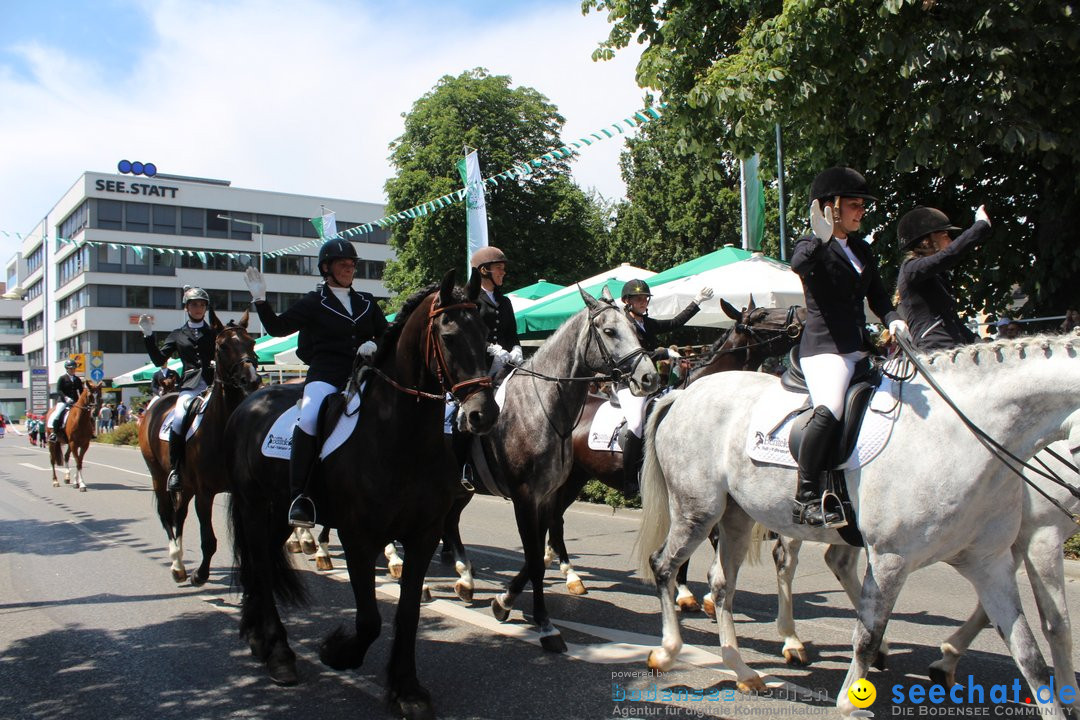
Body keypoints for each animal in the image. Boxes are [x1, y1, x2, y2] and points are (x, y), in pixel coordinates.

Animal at [230, 272, 498, 720]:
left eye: (486, 332)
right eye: (448, 335)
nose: (483, 414)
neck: (399, 436)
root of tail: (250, 401)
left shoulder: (423, 535)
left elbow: (408, 612)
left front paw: (406, 689)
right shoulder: (358, 538)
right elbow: (370, 619)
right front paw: (336, 652)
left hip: (276, 513)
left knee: (261, 561)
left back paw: (258, 637)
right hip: (253, 506)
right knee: (262, 570)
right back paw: (279, 653)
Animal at [635, 334, 1080, 716]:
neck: (958, 437)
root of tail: (685, 393)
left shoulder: (990, 563)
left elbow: (1030, 653)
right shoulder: (892, 559)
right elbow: (866, 636)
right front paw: (852, 701)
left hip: (738, 516)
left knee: (722, 583)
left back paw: (744, 670)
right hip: (698, 511)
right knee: (665, 566)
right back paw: (669, 651)